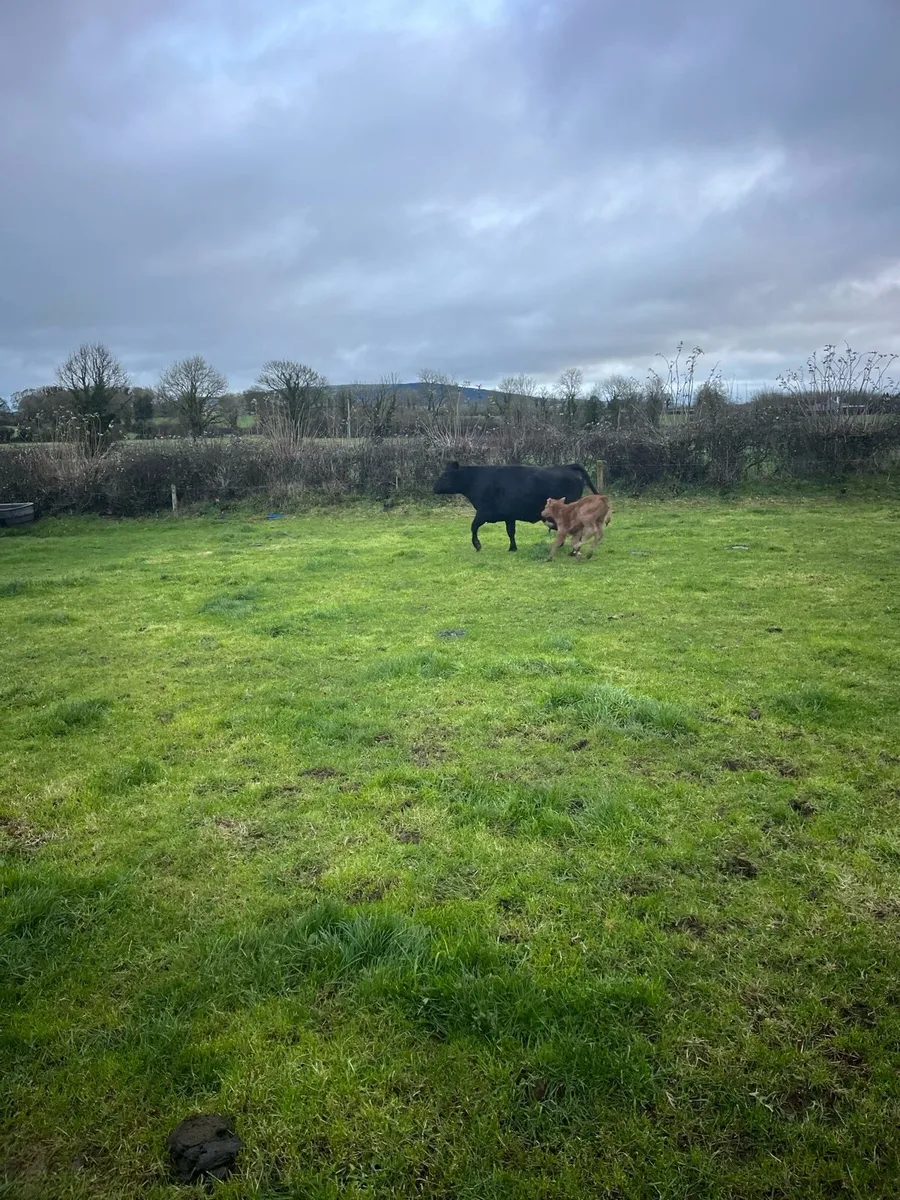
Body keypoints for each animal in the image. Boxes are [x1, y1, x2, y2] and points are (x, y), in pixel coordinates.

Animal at [432, 461, 598, 551]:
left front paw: (477, 545)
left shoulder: (484, 512)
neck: (476, 480)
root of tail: (568, 466)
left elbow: (473, 527)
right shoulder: (509, 516)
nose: (433, 488)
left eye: (445, 475)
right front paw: (512, 548)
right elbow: (510, 532)